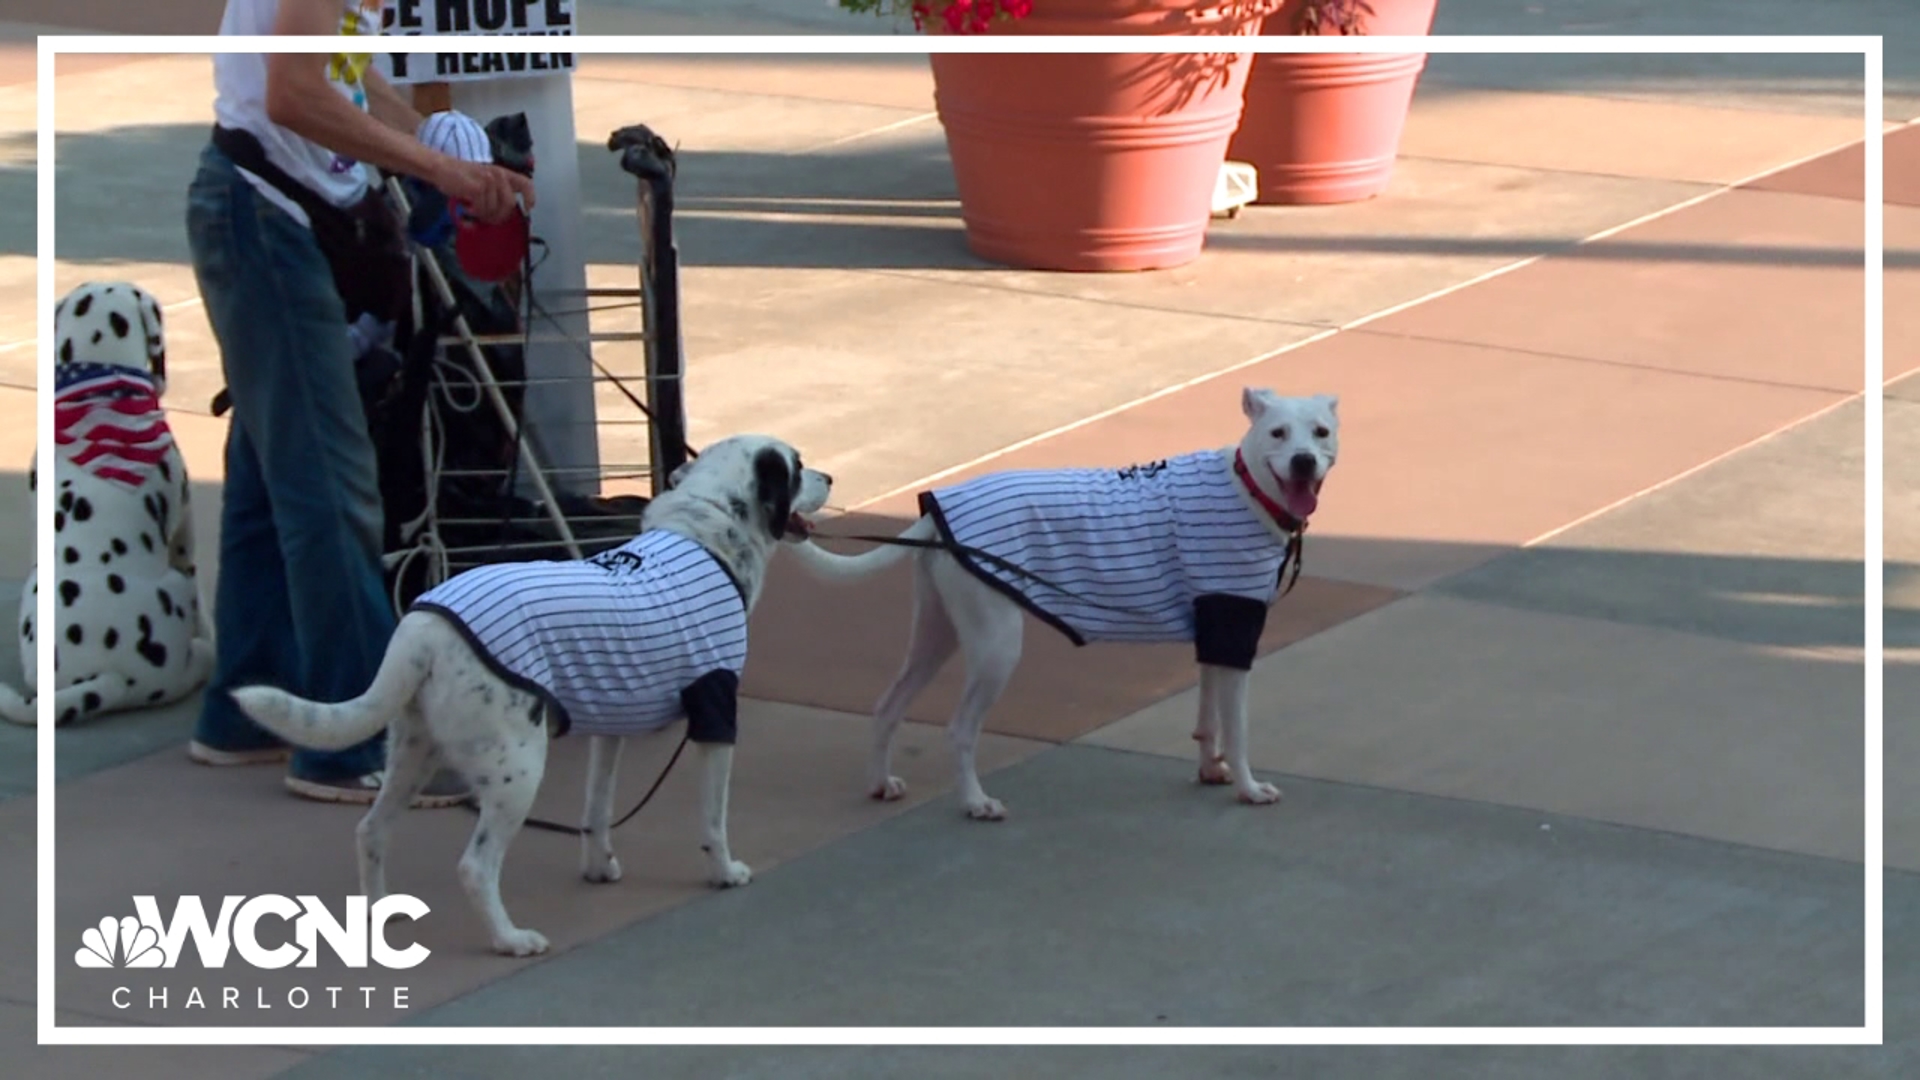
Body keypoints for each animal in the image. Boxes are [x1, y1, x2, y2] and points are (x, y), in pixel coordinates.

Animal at [228, 432, 829, 953]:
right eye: (797, 467)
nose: (829, 476)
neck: (708, 535)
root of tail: (423, 627)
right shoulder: (715, 714)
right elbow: (713, 820)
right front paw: (724, 872)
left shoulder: (611, 725)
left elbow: (596, 810)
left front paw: (598, 867)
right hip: (517, 769)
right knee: (475, 867)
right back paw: (509, 940)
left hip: (413, 754)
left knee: (371, 832)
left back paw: (378, 914)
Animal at [783, 386, 1336, 814]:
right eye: (1278, 434)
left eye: (1321, 432)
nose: (1304, 461)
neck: (1248, 487)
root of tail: (934, 517)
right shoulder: (1237, 631)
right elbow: (1236, 728)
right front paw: (1249, 788)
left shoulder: (1215, 629)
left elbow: (1209, 720)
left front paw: (1210, 770)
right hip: (996, 647)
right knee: (959, 730)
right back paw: (975, 803)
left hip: (937, 633)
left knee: (888, 705)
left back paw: (881, 783)